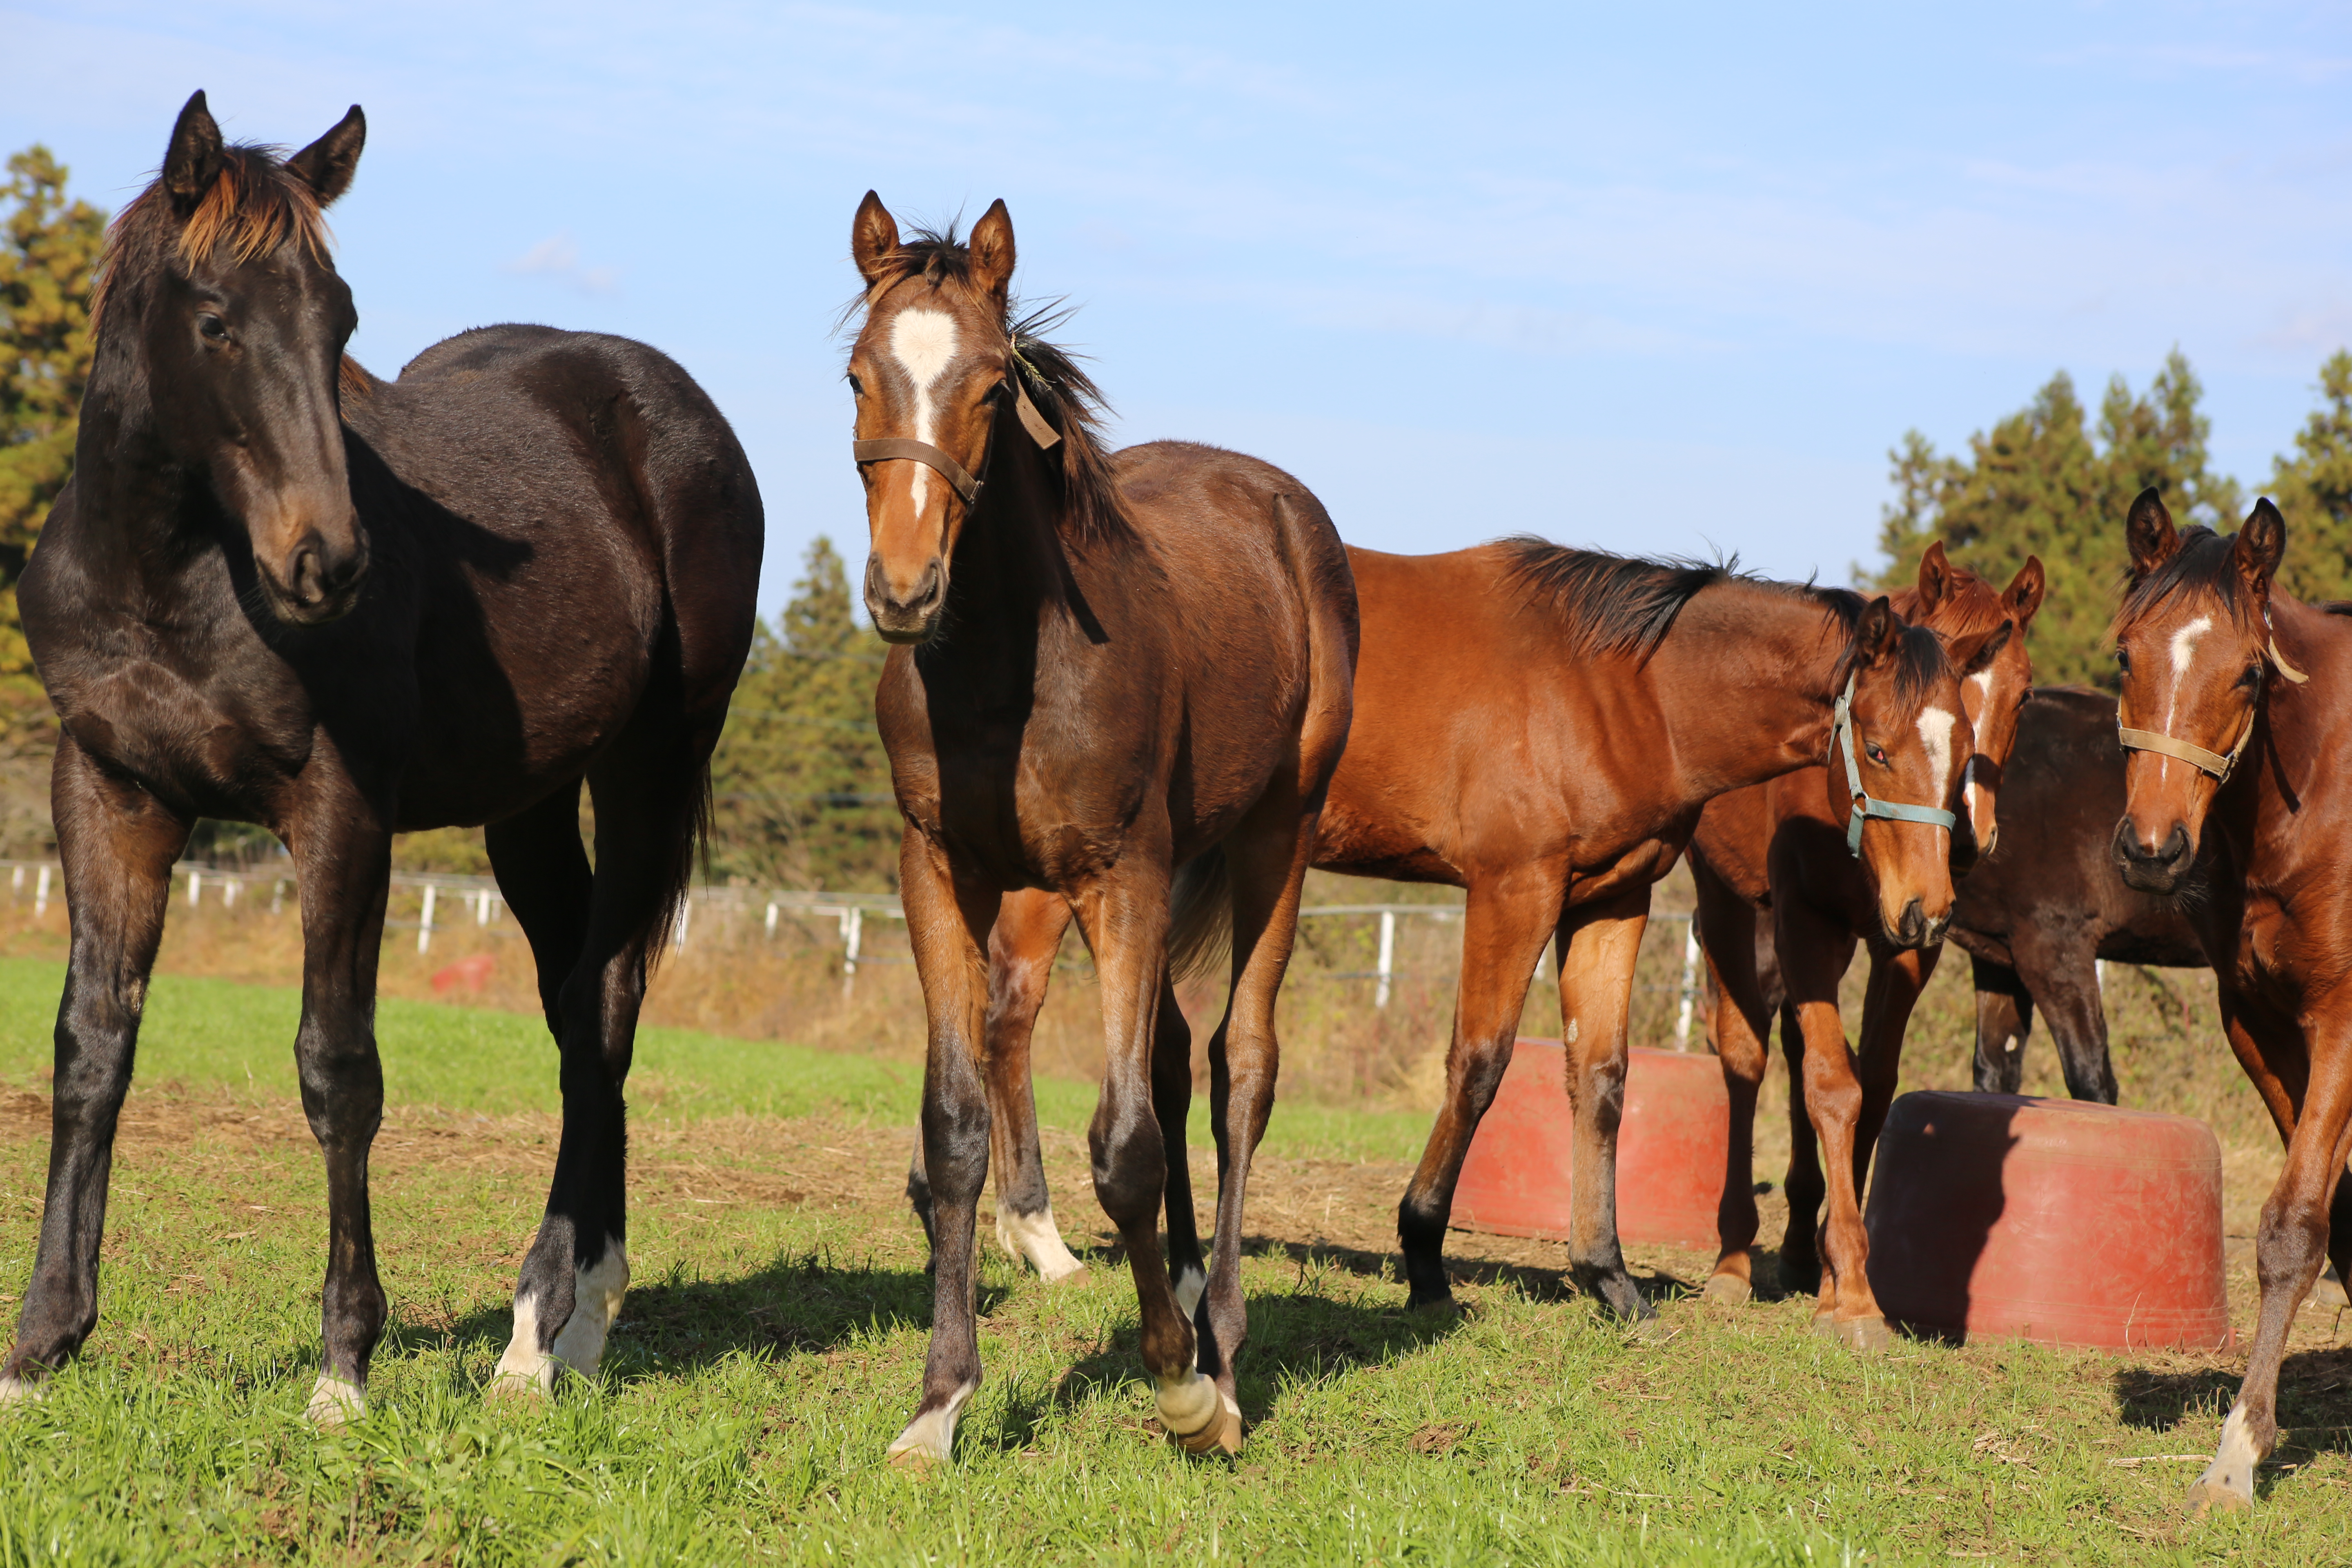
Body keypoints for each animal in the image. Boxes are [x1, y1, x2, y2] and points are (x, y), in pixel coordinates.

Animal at [0, 95, 757, 1420]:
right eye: (215, 319)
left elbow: (336, 1066)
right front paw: (41, 1345)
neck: (169, 579)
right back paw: (576, 1322)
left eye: (340, 319)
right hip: (530, 809)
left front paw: (344, 1366)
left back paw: (534, 1329)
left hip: (652, 764)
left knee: (605, 1007)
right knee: (577, 1008)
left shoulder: (339, 809)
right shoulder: (109, 791)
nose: (328, 561)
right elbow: (91, 1047)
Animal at [851, 196, 1364, 1476]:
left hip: (1275, 837)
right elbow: (954, 1131)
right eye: (857, 376)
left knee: (1239, 1068)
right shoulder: (938, 872)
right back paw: (1177, 1288)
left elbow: (1124, 1144)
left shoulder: (1118, 877)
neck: (1001, 671)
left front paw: (1186, 1390)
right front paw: (939, 1404)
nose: (902, 590)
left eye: (993, 387)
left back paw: (1219, 1337)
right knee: (1176, 1054)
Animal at [931, 545, 1966, 1335]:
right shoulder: (1513, 889)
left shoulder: (1612, 900)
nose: (1926, 911)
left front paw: (1608, 1276)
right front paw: (1423, 1251)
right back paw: (1035, 1234)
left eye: (1963, 753)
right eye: (1877, 751)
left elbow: (1601, 1079)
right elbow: (1479, 1063)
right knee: (1014, 1013)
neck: (1618, 690)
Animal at [1693, 545, 2041, 1345]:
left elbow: (1872, 1086)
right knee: (1746, 1058)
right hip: (1724, 900)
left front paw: (1831, 1275)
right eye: (1878, 747)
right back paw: (1734, 1258)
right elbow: (1831, 1085)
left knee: (1794, 1047)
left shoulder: (1909, 942)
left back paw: (1797, 1248)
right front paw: (1852, 1293)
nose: (1967, 839)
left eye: (2025, 695)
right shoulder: (1804, 918)